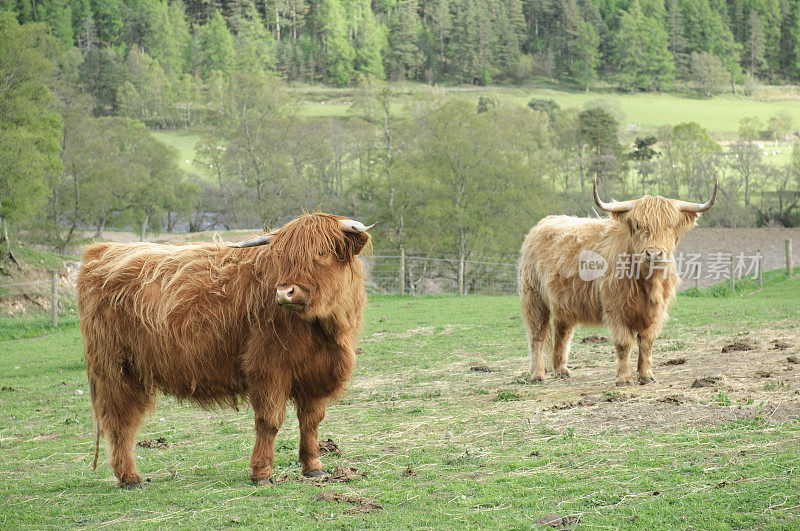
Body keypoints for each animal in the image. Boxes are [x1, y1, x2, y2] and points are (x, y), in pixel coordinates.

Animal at [77, 214, 376, 488]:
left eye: (322, 253)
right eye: (281, 258)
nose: (284, 293)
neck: (324, 329)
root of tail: (100, 252)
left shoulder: (317, 374)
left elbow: (311, 422)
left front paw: (314, 467)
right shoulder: (267, 368)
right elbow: (269, 421)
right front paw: (261, 473)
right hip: (117, 371)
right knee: (121, 424)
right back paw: (130, 478)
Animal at [520, 179, 720, 386]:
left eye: (670, 226)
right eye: (638, 225)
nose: (654, 253)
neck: (646, 282)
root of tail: (544, 222)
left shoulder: (655, 311)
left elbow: (646, 342)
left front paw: (646, 376)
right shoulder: (615, 309)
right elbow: (625, 343)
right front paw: (624, 379)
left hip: (564, 302)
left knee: (562, 332)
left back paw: (561, 370)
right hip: (533, 297)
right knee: (537, 334)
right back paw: (537, 376)